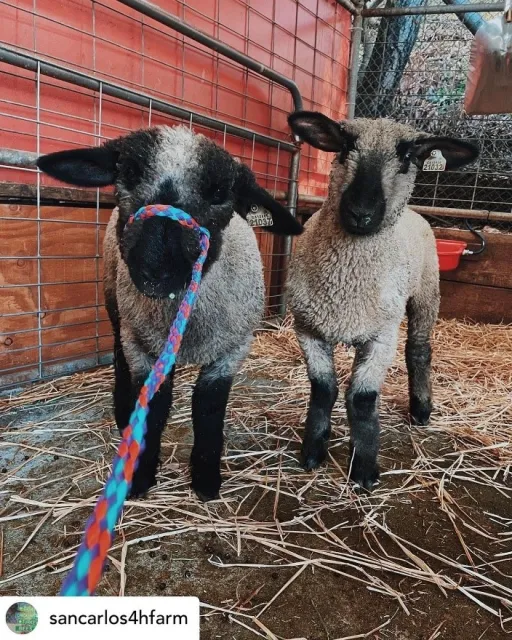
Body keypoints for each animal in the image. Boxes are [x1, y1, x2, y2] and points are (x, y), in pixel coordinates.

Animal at [37, 124, 302, 501]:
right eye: (129, 174)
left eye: (219, 193)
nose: (155, 270)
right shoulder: (141, 345)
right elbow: (153, 405)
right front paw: (139, 476)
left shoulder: (233, 349)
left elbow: (208, 409)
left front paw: (206, 480)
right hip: (116, 305)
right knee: (119, 355)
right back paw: (123, 414)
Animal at [286, 111, 479, 490]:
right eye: (346, 147)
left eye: (407, 157)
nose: (360, 212)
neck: (346, 286)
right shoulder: (308, 328)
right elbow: (323, 389)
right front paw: (313, 450)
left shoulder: (382, 336)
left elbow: (362, 399)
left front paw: (364, 468)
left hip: (426, 292)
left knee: (419, 349)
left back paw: (421, 409)